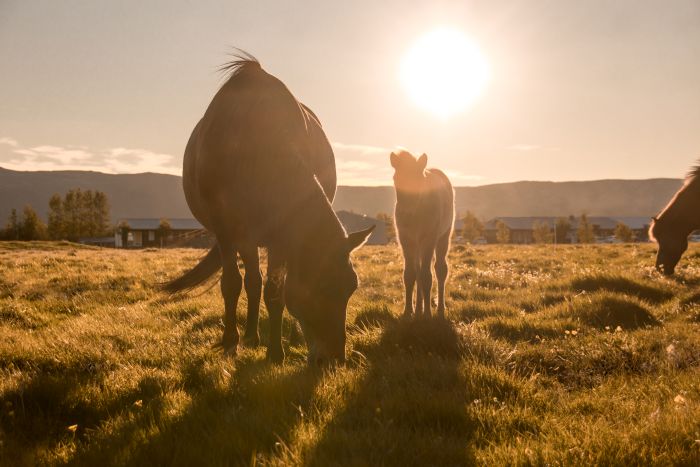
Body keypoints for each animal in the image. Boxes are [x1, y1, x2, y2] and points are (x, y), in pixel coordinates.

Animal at [162, 57, 374, 366]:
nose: (334, 359)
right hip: (244, 237)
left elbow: (275, 292)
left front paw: (276, 351)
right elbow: (232, 284)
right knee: (251, 280)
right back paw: (249, 335)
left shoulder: (280, 237)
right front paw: (231, 342)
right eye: (321, 287)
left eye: (352, 287)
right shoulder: (227, 231)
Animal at [392, 150, 456, 318]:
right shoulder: (406, 240)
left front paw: (427, 314)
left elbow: (427, 276)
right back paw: (418, 309)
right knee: (418, 270)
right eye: (395, 179)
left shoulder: (429, 239)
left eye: (418, 180)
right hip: (417, 244)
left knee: (440, 270)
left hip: (442, 238)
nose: (406, 213)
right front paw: (408, 311)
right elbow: (410, 274)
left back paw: (439, 309)